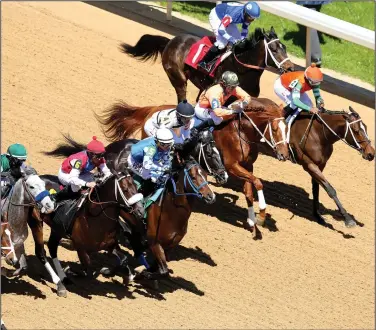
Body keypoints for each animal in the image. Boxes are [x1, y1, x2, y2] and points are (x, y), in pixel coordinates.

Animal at [98, 99, 290, 231]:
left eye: (287, 129)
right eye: (274, 129)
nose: (285, 155)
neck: (241, 132)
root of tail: (153, 109)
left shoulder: (247, 166)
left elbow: (249, 190)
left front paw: (252, 220)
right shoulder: (233, 166)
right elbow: (257, 182)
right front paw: (261, 216)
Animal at [119, 26, 294, 102]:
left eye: (285, 48)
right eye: (273, 49)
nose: (290, 68)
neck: (242, 68)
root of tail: (170, 41)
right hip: (177, 77)